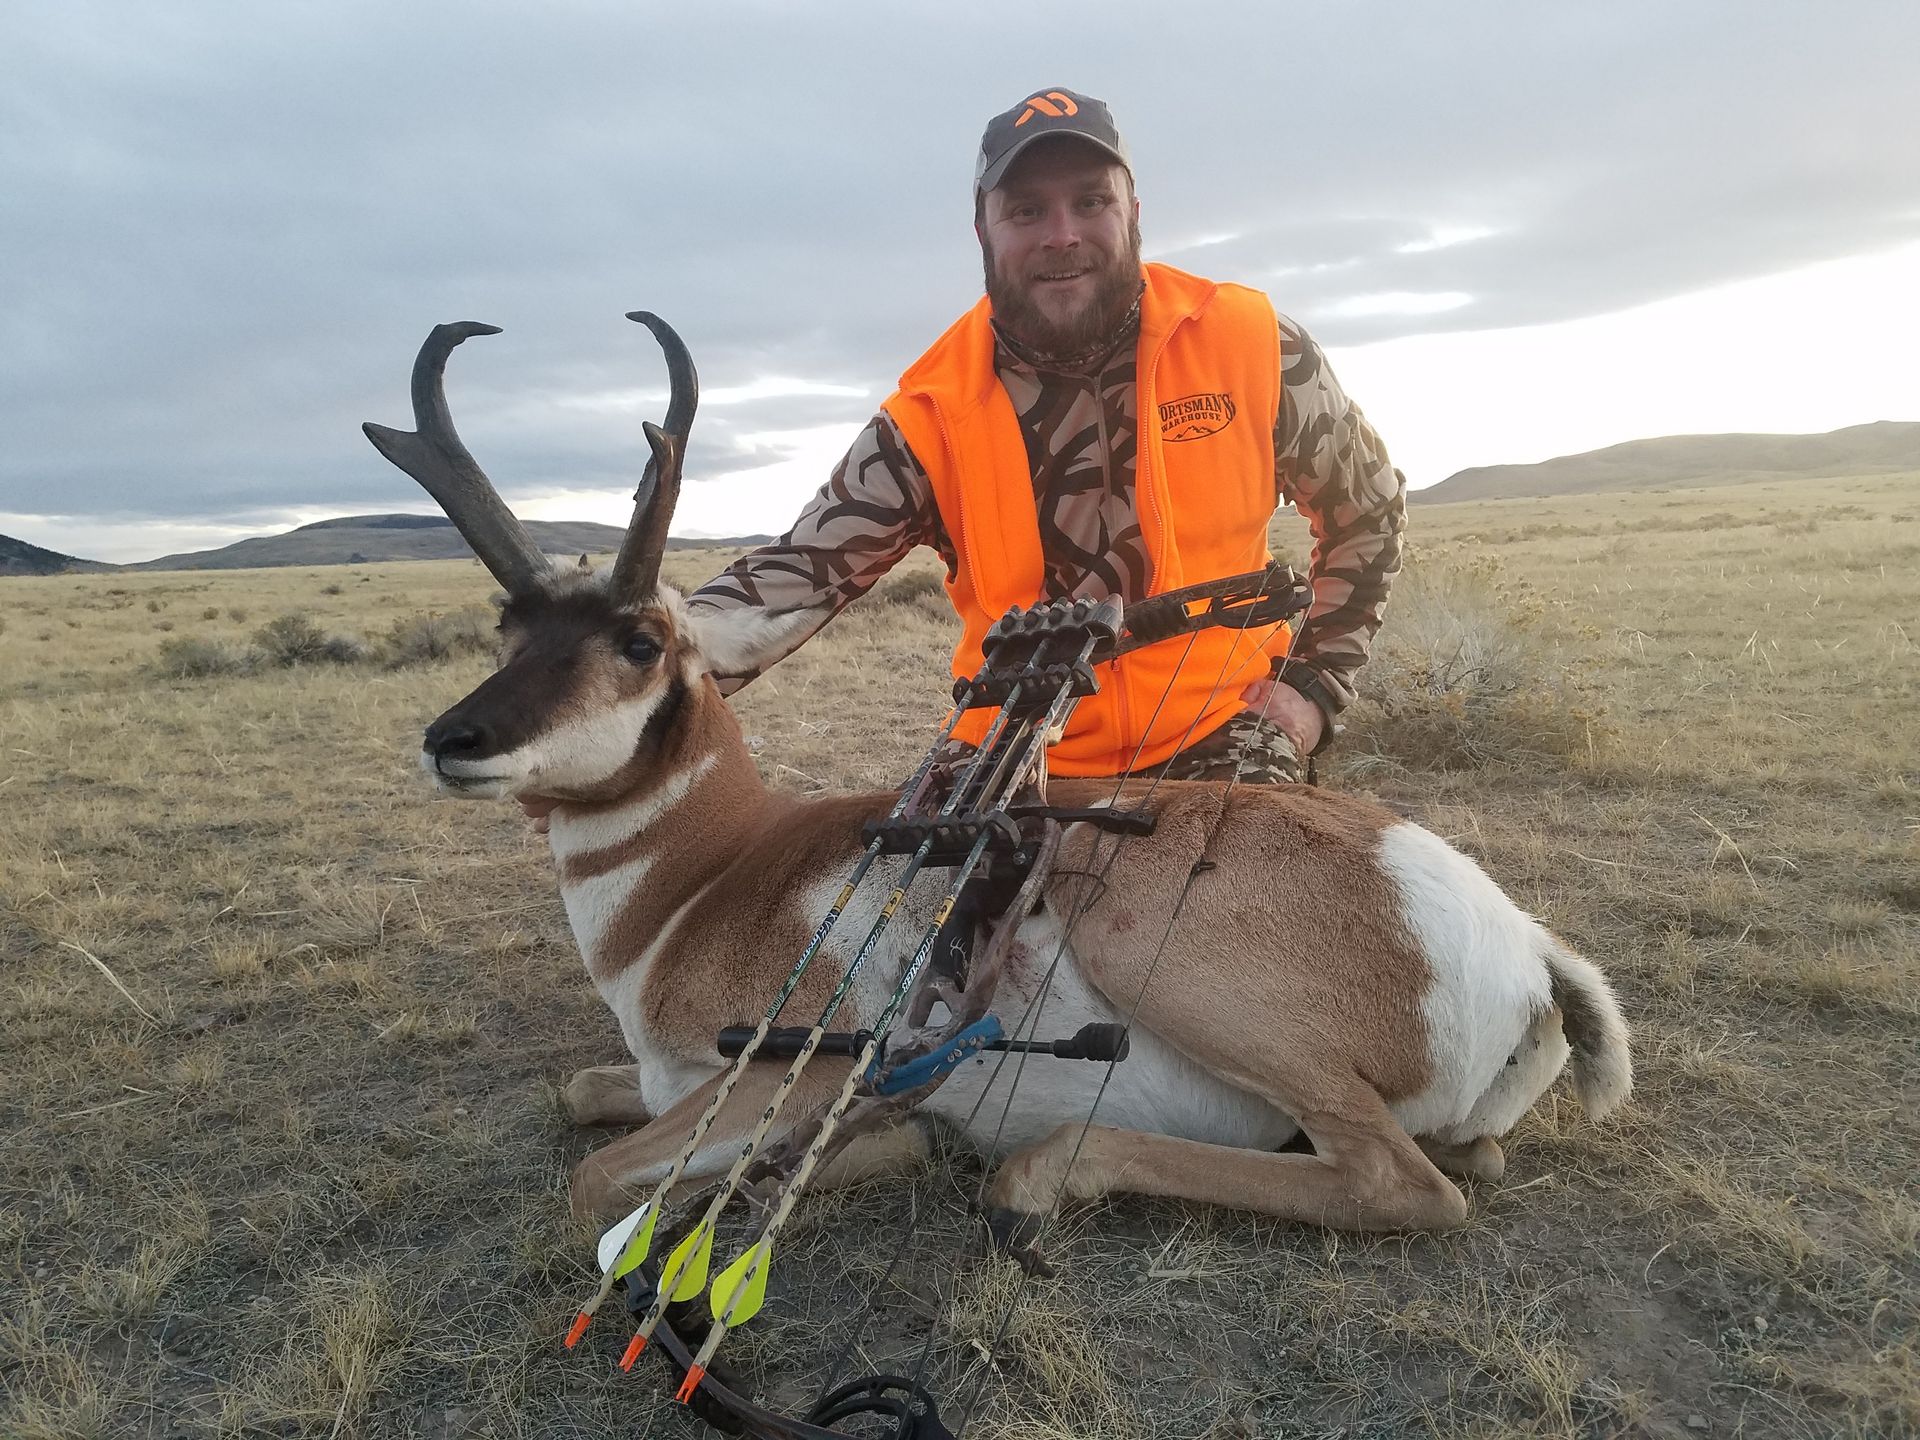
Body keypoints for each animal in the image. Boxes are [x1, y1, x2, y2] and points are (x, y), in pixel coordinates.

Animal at [366, 314, 1632, 1248]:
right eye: (508, 624)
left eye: (636, 640)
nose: (453, 739)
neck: (703, 880)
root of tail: (1523, 943)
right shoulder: (661, 1077)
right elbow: (576, 1095)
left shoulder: (790, 1077)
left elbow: (598, 1182)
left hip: (1146, 939)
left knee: (1403, 1182)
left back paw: (1036, 1175)